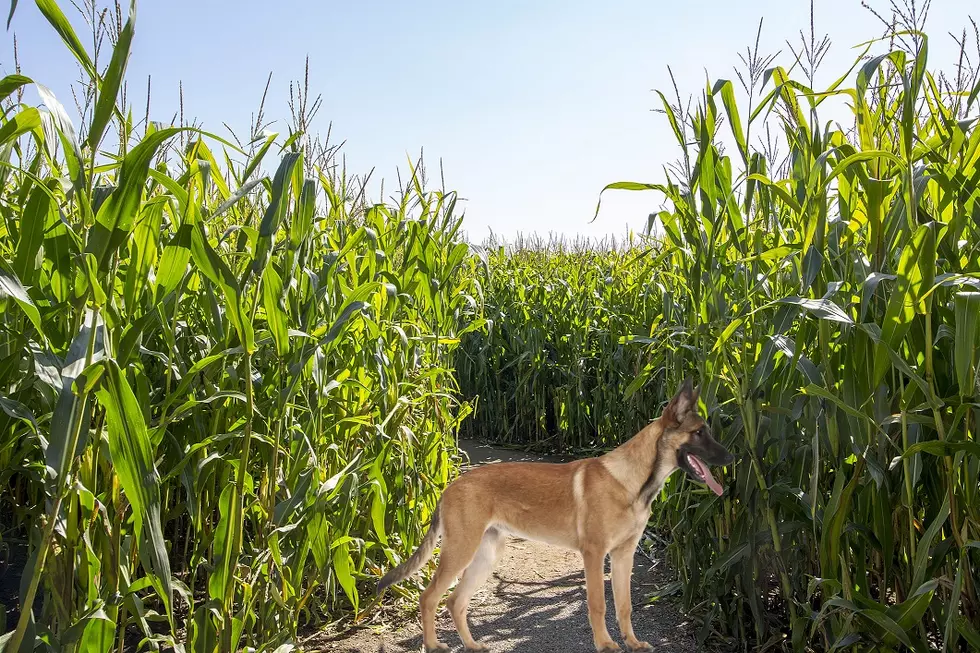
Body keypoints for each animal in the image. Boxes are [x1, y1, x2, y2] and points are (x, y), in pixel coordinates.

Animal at [378, 380, 732, 648]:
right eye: (700, 432)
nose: (732, 458)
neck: (634, 480)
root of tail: (449, 486)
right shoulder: (594, 554)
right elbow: (598, 604)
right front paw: (606, 645)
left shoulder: (623, 555)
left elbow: (625, 606)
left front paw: (631, 643)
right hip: (460, 552)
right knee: (429, 597)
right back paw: (435, 645)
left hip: (484, 557)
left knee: (454, 601)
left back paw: (473, 645)